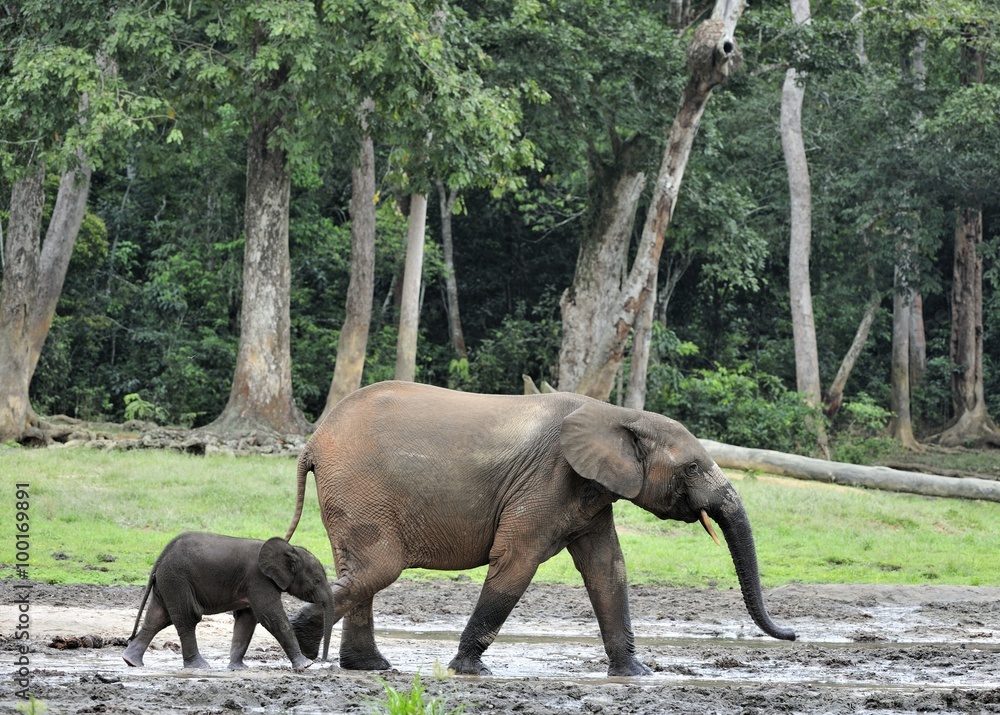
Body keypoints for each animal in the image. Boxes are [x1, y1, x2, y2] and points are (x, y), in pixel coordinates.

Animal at [122, 532, 334, 670]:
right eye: (317, 581)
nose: (324, 661)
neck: (289, 549)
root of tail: (162, 554)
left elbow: (246, 621)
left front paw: (238, 668)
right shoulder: (259, 580)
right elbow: (271, 617)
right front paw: (305, 665)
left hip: (168, 582)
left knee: (157, 618)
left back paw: (131, 661)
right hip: (177, 579)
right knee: (188, 617)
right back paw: (199, 667)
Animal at [285, 380, 795, 676]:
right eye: (691, 468)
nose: (791, 635)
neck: (615, 414)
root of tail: (312, 441)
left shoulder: (589, 491)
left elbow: (608, 569)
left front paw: (637, 675)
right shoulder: (547, 480)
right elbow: (516, 561)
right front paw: (470, 671)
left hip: (353, 494)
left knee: (362, 571)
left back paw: (368, 667)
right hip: (360, 488)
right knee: (380, 568)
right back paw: (306, 644)